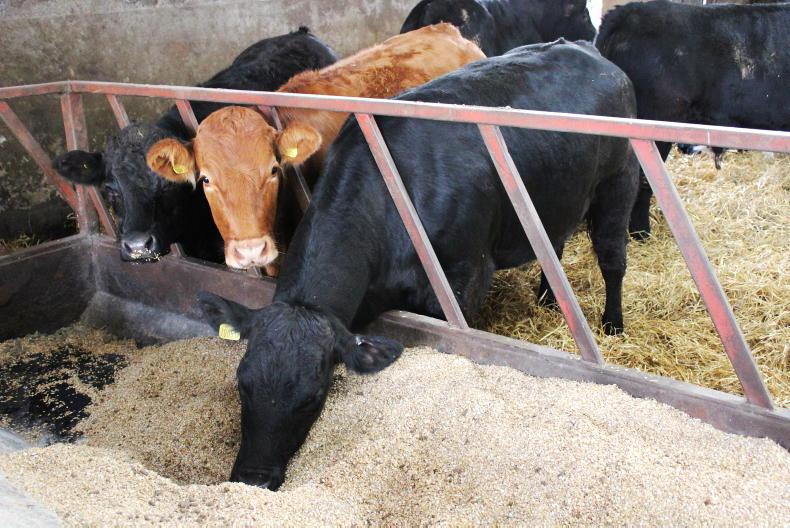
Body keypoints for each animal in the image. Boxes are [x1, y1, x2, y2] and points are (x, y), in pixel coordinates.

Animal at [196, 40, 639, 489]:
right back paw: (549, 300)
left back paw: (612, 325)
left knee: (612, 258)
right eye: (242, 383)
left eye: (312, 397)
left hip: (621, 181)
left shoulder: (463, 280)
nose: (251, 478)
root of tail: (581, 46)